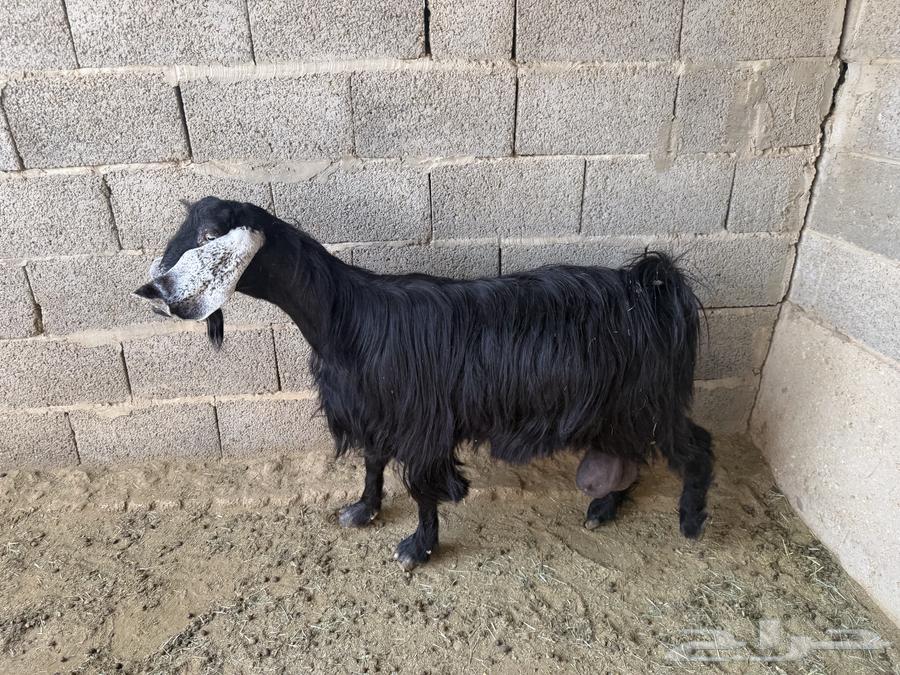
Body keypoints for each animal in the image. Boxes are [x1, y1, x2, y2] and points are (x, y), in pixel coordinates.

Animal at [134, 197, 714, 570]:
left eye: (210, 237)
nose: (153, 291)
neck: (348, 319)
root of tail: (652, 285)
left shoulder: (422, 423)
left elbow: (422, 486)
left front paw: (417, 548)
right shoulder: (372, 409)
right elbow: (372, 462)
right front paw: (363, 510)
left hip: (651, 400)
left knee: (696, 446)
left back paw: (690, 521)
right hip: (623, 407)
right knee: (630, 454)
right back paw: (603, 509)